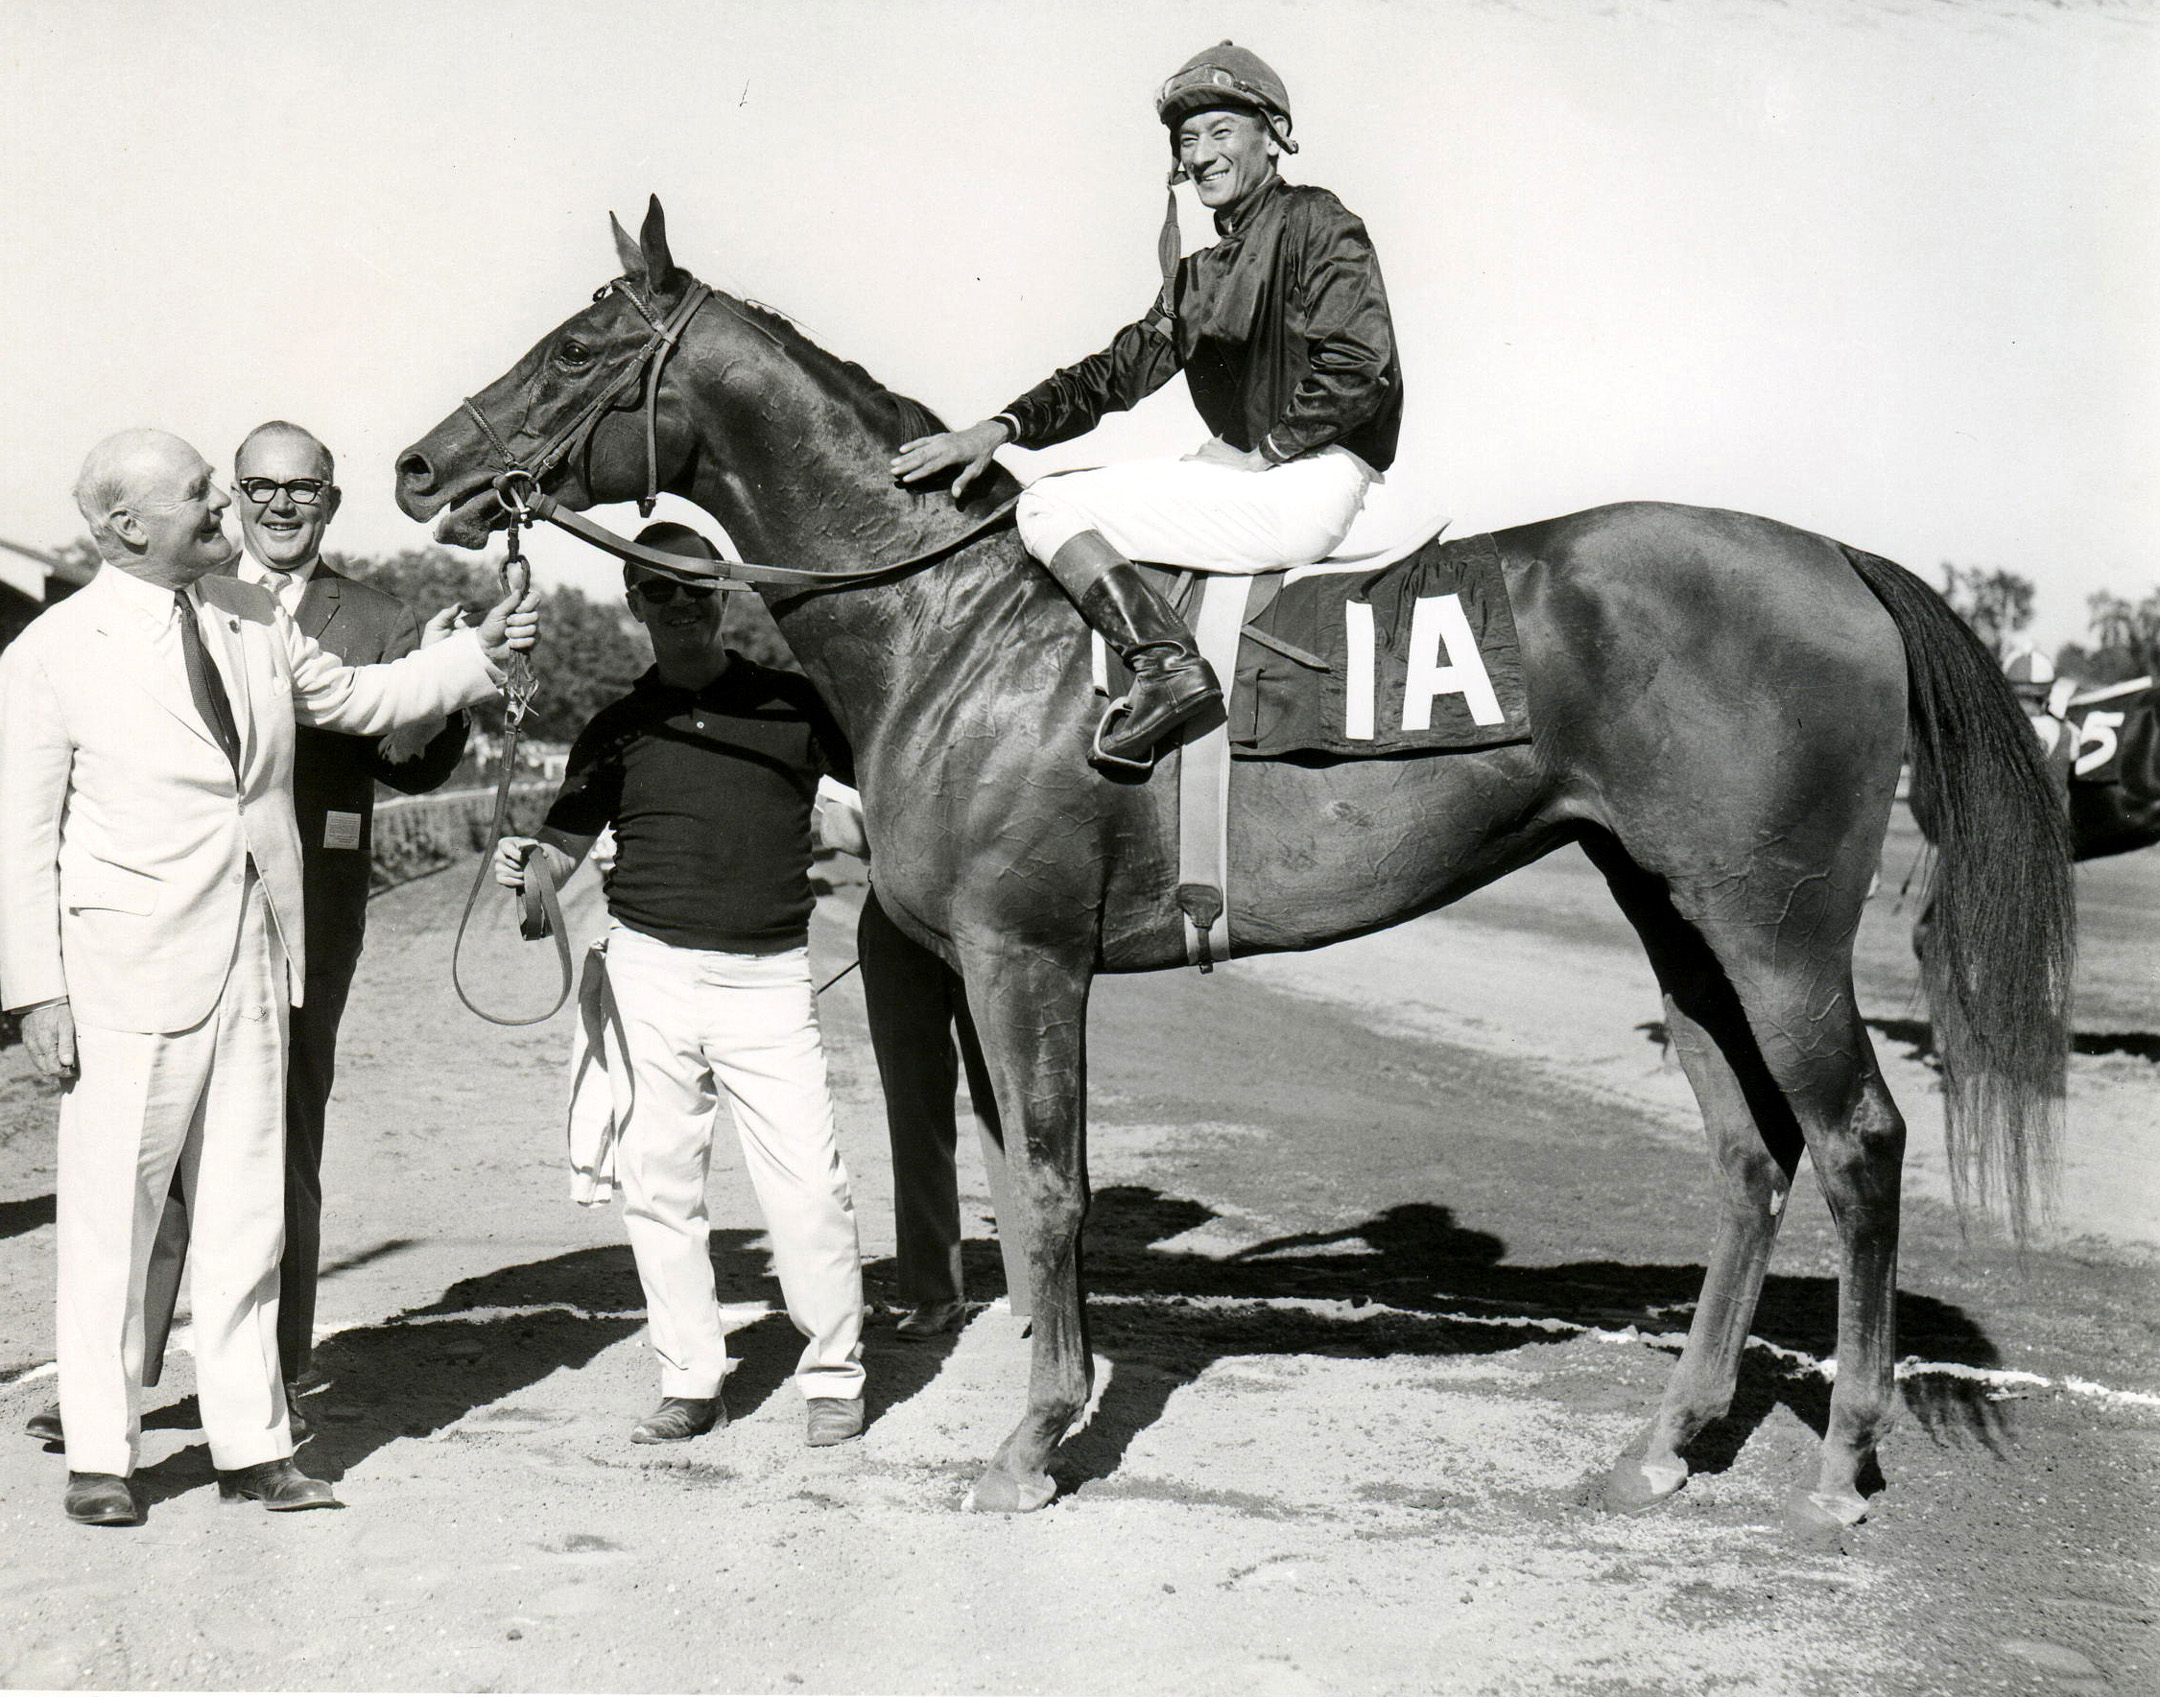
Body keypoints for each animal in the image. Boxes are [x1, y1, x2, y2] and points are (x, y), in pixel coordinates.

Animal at [397, 201, 2064, 1537]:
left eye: (575, 348)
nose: (419, 465)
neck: (955, 624)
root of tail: (1838, 558)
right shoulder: (994, 966)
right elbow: (1019, 1178)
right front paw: (1052, 1398)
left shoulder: (1022, 954)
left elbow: (1052, 1187)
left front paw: (1028, 1444)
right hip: (1671, 913)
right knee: (1748, 1156)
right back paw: (1660, 1448)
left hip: (1775, 927)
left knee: (1856, 1141)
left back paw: (1842, 1465)